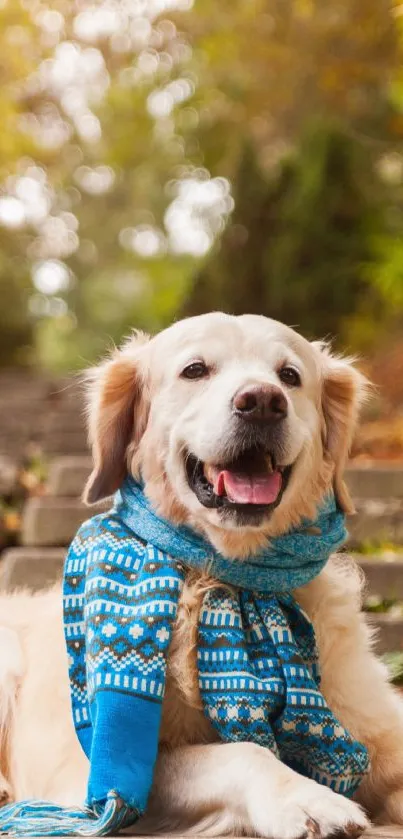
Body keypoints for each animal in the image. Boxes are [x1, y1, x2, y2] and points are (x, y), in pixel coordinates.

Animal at [0, 312, 403, 836]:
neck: (227, 579)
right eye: (195, 370)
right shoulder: (94, 781)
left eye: (289, 376)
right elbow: (240, 752)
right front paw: (307, 798)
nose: (263, 402)